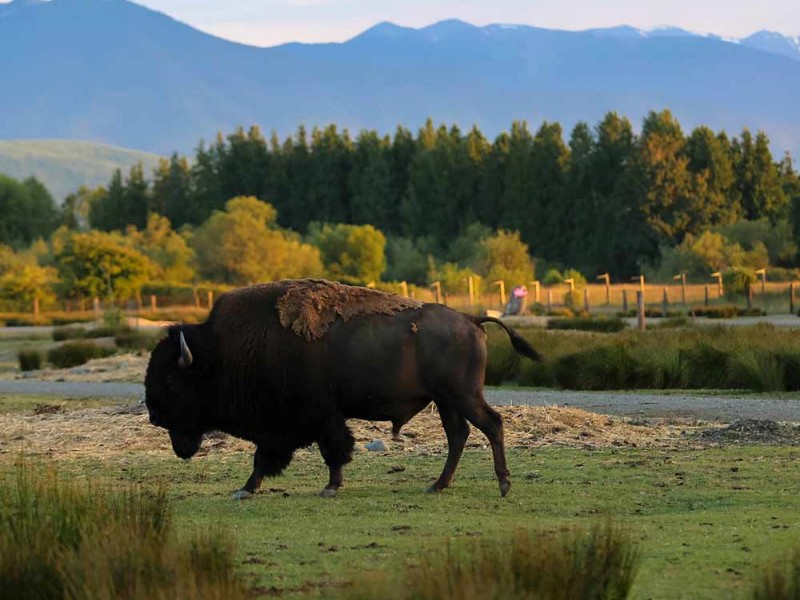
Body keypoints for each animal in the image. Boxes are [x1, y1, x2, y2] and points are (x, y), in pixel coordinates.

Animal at [145, 278, 544, 500]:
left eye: (171, 380)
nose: (152, 414)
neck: (222, 352)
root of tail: (471, 319)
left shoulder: (317, 417)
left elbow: (330, 451)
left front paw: (330, 487)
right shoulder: (286, 425)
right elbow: (267, 458)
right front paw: (247, 488)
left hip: (462, 396)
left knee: (491, 425)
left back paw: (503, 484)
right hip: (446, 401)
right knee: (458, 435)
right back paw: (438, 485)